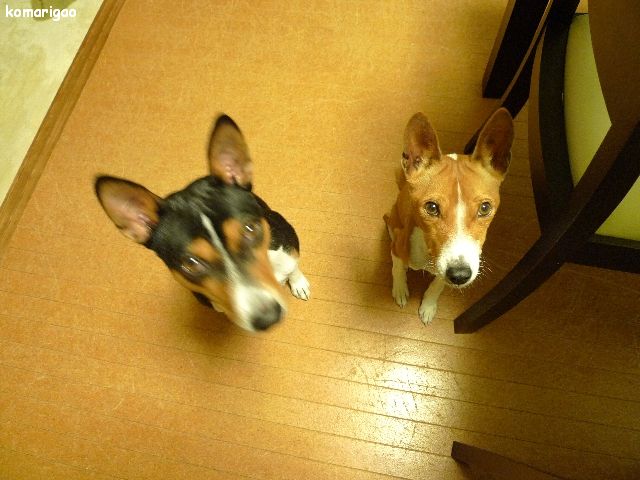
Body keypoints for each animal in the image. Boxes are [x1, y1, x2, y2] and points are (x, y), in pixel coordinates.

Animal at [95, 114, 310, 331]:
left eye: (250, 229)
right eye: (191, 264)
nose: (268, 318)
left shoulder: (288, 249)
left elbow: (294, 268)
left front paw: (299, 283)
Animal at [384, 108, 514, 325]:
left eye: (485, 208)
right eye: (431, 207)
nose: (459, 275)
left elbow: (438, 284)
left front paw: (428, 305)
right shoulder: (398, 246)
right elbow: (397, 268)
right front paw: (400, 289)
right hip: (392, 220)